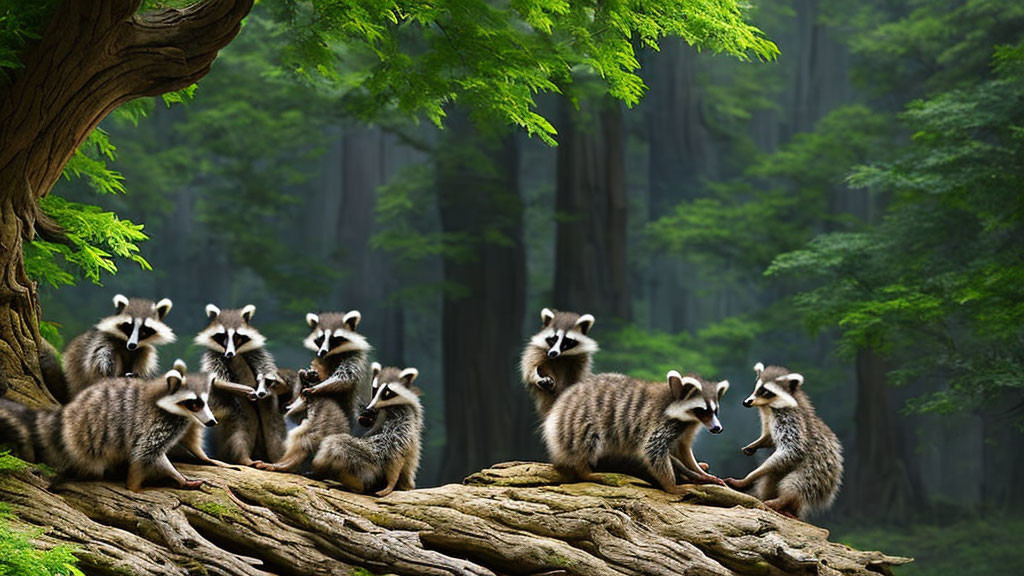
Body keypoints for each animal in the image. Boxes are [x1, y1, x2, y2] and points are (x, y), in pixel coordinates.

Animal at [0, 358, 216, 487]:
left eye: (206, 401)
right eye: (194, 403)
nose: (212, 422)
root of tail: (68, 414)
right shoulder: (154, 425)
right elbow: (147, 454)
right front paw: (176, 477)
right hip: (86, 438)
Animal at [311, 362, 423, 494]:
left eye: (387, 393)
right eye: (374, 390)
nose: (370, 408)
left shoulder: (404, 415)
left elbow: (397, 446)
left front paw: (391, 480)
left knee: (336, 445)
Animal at [544, 368, 729, 491]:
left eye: (715, 411)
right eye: (703, 410)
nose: (717, 428)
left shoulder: (687, 429)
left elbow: (683, 450)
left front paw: (699, 471)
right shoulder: (660, 423)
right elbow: (653, 451)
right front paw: (671, 485)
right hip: (576, 423)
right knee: (586, 440)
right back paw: (585, 471)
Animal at [729, 360, 847, 518]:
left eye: (765, 391)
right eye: (756, 387)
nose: (746, 402)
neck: (768, 405)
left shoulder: (791, 420)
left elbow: (792, 450)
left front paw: (750, 476)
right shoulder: (768, 418)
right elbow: (769, 437)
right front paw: (755, 444)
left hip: (816, 472)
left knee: (796, 483)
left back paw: (782, 499)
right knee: (772, 477)